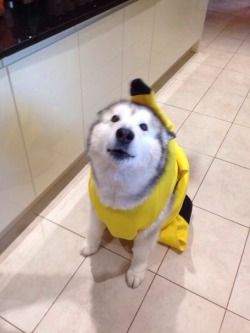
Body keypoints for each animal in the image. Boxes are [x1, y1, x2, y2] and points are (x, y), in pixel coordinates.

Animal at [82, 100, 176, 286]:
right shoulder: (96, 212)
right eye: (115, 118)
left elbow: (140, 253)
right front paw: (90, 246)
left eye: (144, 127)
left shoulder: (148, 230)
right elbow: (94, 231)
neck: (117, 189)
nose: (124, 133)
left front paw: (136, 272)